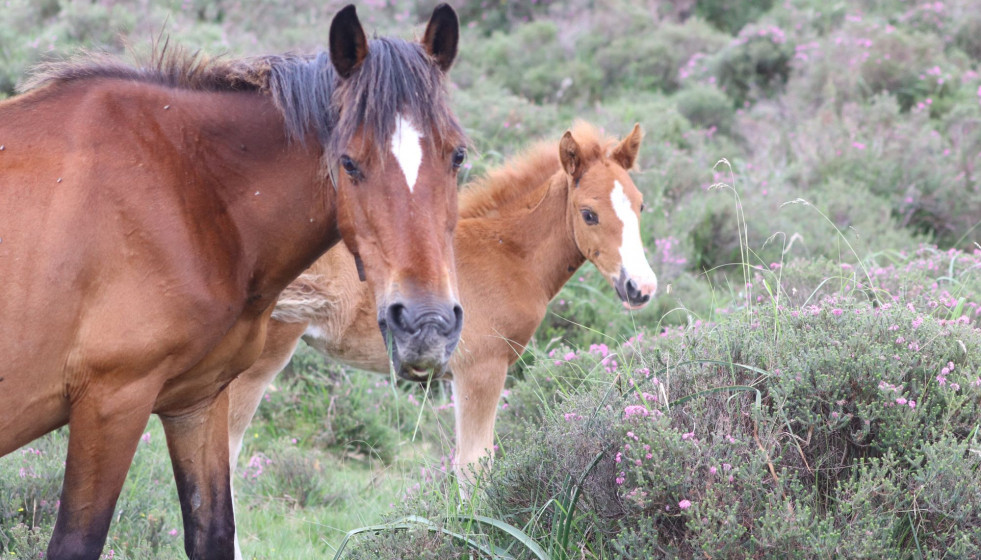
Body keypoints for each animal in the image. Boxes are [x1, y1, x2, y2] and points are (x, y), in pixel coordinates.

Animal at [0, 5, 465, 559]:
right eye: (349, 162)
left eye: (458, 155)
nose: (426, 324)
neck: (185, 187)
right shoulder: (111, 403)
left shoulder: (198, 401)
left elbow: (215, 531)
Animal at [226, 121, 657, 489]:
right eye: (589, 214)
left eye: (640, 205)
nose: (641, 287)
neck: (506, 252)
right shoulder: (482, 369)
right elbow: (474, 469)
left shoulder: (456, 376)